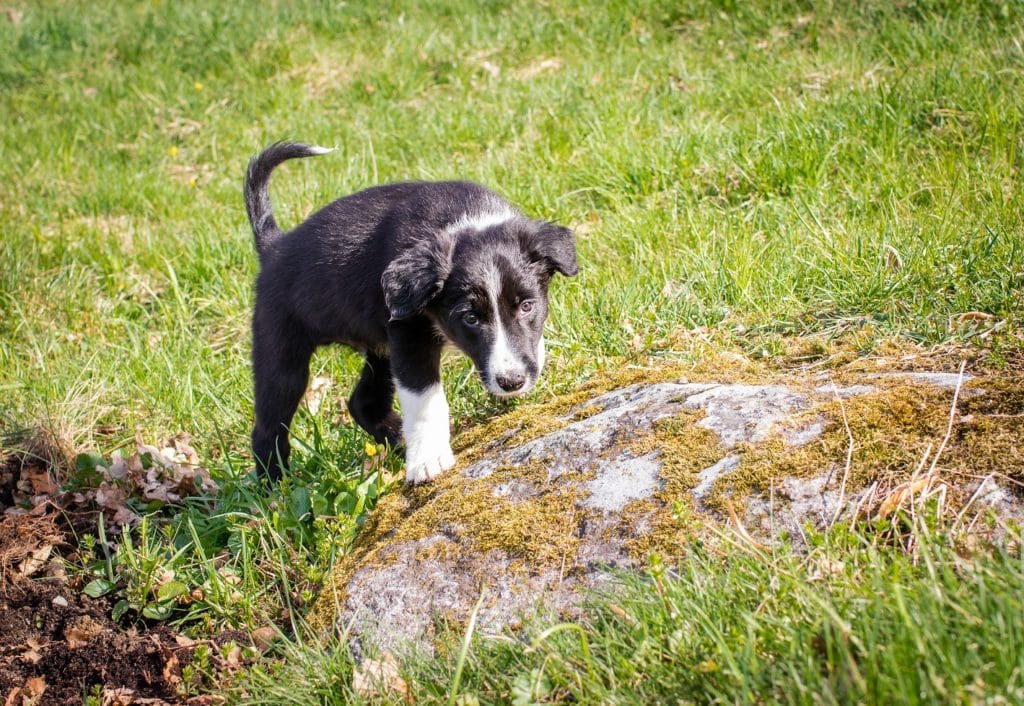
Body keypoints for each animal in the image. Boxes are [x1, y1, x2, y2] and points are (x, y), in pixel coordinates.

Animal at [240, 143, 577, 483]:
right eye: (470, 318)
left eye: (526, 306)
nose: (512, 382)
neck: (459, 222)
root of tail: (273, 247)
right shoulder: (409, 336)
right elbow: (425, 400)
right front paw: (428, 459)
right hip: (281, 354)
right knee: (268, 429)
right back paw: (276, 487)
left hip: (380, 351)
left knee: (363, 402)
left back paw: (398, 442)